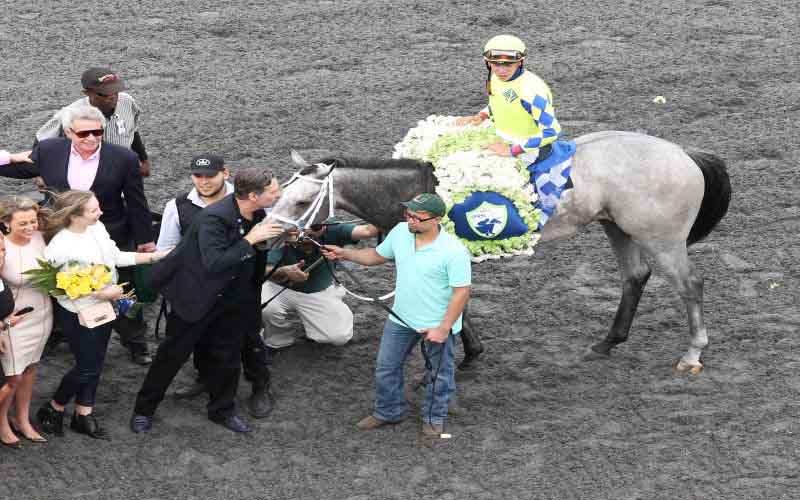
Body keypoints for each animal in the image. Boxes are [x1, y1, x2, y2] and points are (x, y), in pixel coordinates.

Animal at [270, 131, 732, 374]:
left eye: (300, 201)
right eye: (282, 193)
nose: (272, 233)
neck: (419, 191)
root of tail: (682, 153)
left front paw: (460, 355)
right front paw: (470, 351)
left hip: (662, 239)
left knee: (691, 285)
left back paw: (693, 352)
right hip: (618, 228)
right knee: (634, 278)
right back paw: (607, 342)